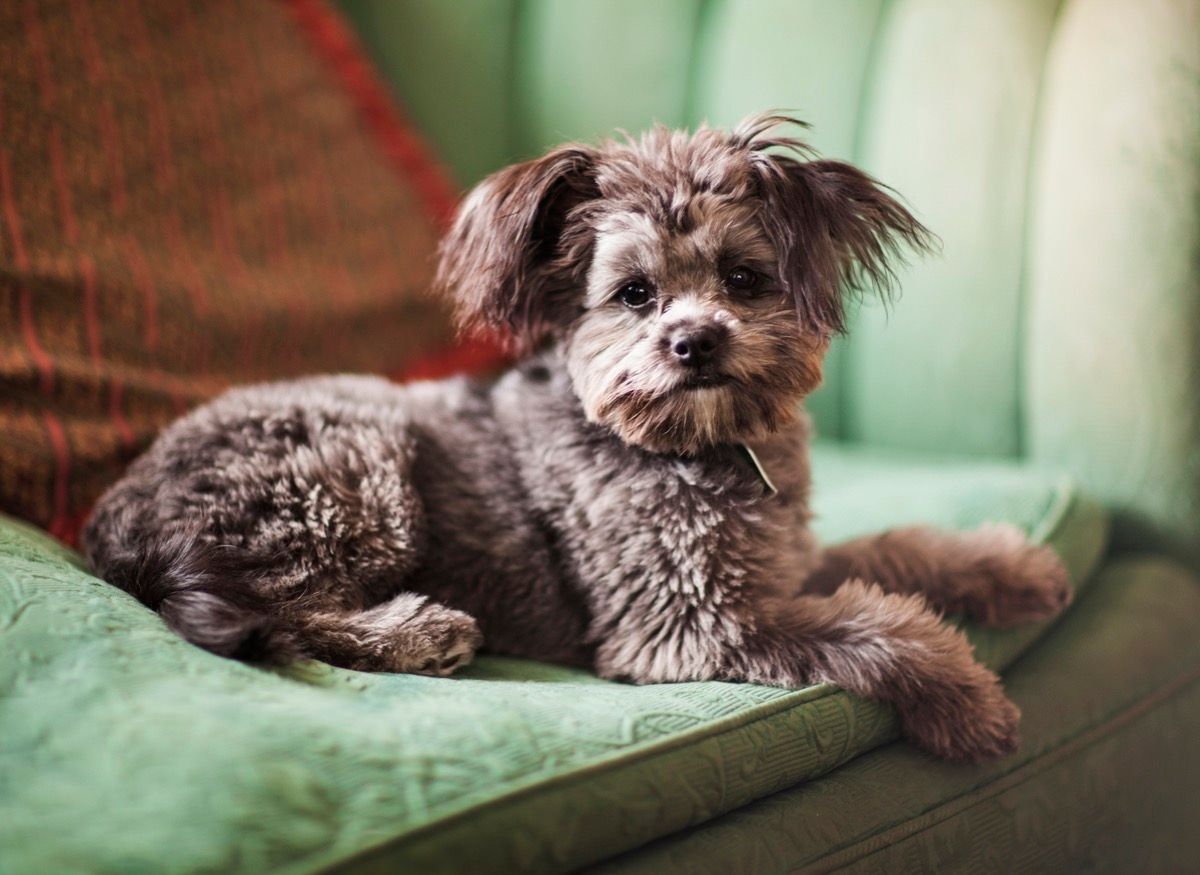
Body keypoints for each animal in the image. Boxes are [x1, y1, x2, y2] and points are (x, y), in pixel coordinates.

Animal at [88, 114, 1075, 758]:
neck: (695, 449)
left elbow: (895, 553)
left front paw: (1008, 566)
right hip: (351, 471)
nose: (695, 339)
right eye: (634, 294)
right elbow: (875, 626)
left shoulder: (779, 566)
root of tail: (115, 520)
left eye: (744, 277)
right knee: (289, 613)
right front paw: (967, 700)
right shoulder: (687, 625)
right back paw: (422, 629)